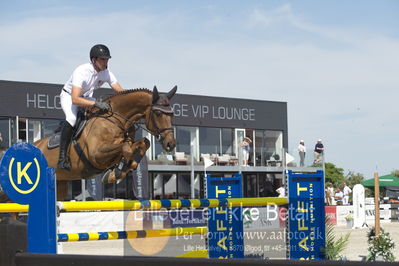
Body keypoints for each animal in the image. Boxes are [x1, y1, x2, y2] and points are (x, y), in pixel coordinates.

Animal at [33, 85, 177, 200]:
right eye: (157, 113)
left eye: (172, 114)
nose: (170, 144)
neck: (115, 120)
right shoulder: (96, 155)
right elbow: (126, 148)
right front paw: (117, 172)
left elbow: (143, 142)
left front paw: (121, 169)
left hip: (60, 185)